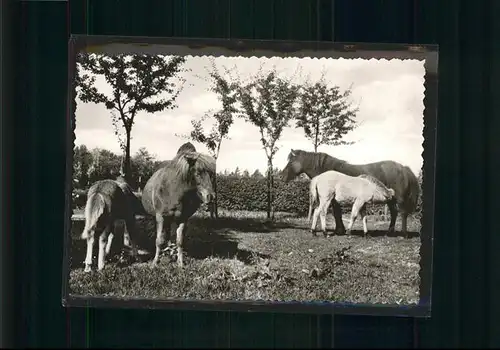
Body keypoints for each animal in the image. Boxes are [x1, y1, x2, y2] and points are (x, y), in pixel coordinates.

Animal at [282, 149, 418, 237]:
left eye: (291, 162)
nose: (281, 176)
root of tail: (404, 168)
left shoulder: (333, 200)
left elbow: (337, 214)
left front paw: (341, 231)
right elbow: (338, 214)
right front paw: (340, 230)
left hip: (399, 200)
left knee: (402, 213)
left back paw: (403, 234)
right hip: (390, 200)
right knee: (394, 213)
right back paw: (389, 232)